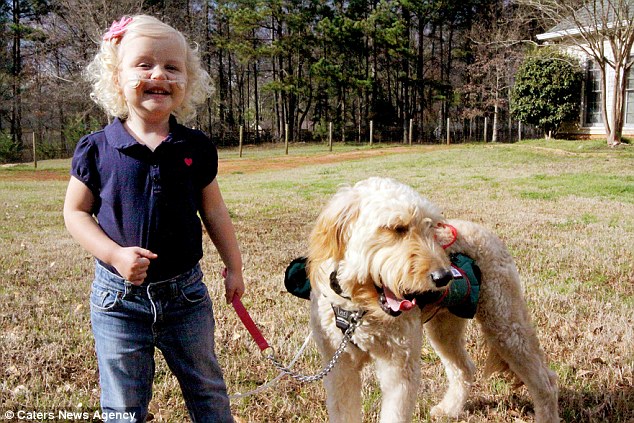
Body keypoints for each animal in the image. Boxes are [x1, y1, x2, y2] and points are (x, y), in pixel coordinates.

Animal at [306, 177, 556, 422]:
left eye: (431, 227)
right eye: (397, 228)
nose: (444, 277)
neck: (360, 310)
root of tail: (486, 232)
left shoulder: (399, 368)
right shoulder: (340, 368)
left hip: (506, 325)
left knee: (546, 382)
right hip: (444, 330)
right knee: (464, 368)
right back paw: (450, 409)